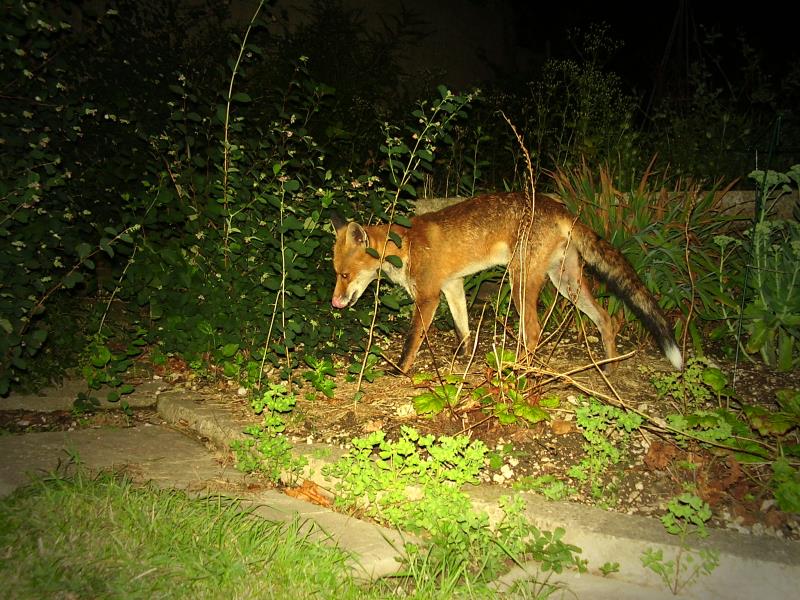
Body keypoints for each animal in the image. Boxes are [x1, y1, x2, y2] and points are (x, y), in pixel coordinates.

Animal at [330, 191, 683, 374]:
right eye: (335, 273)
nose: (334, 302)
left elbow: (411, 341)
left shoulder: (428, 296)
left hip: (520, 282)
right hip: (565, 283)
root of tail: (562, 208)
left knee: (535, 331)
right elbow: (463, 328)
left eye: (344, 275)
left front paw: (400, 370)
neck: (405, 246)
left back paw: (521, 372)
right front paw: (465, 357)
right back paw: (608, 367)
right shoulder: (453, 286)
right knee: (606, 319)